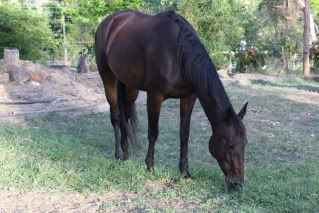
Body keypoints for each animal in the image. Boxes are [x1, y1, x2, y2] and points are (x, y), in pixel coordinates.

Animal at [95, 10, 250, 190]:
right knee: (116, 116)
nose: (237, 184)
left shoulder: (189, 97)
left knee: (125, 117)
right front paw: (150, 166)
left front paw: (185, 171)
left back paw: (126, 155)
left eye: (245, 143)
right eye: (230, 145)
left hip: (129, 86)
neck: (178, 53)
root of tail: (109, 20)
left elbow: (184, 133)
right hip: (108, 77)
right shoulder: (154, 96)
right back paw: (118, 154)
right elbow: (153, 132)